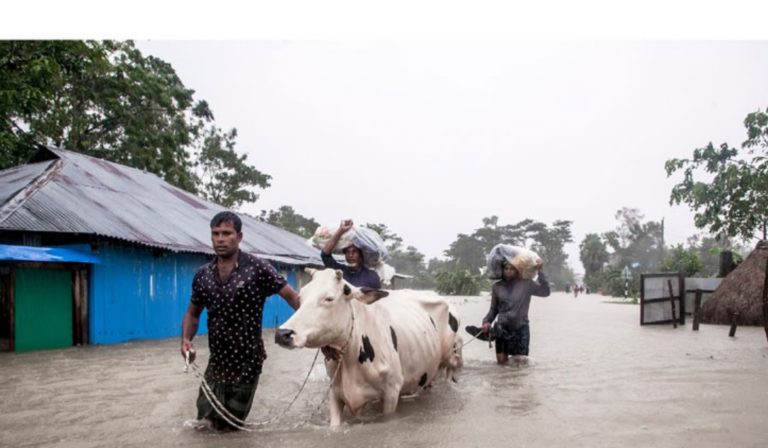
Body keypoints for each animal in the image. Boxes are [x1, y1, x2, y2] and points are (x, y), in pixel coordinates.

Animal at [274, 268, 462, 426]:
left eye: (329, 298)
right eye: (300, 298)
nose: (282, 333)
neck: (351, 357)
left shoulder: (391, 392)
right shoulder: (335, 391)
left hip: (450, 358)